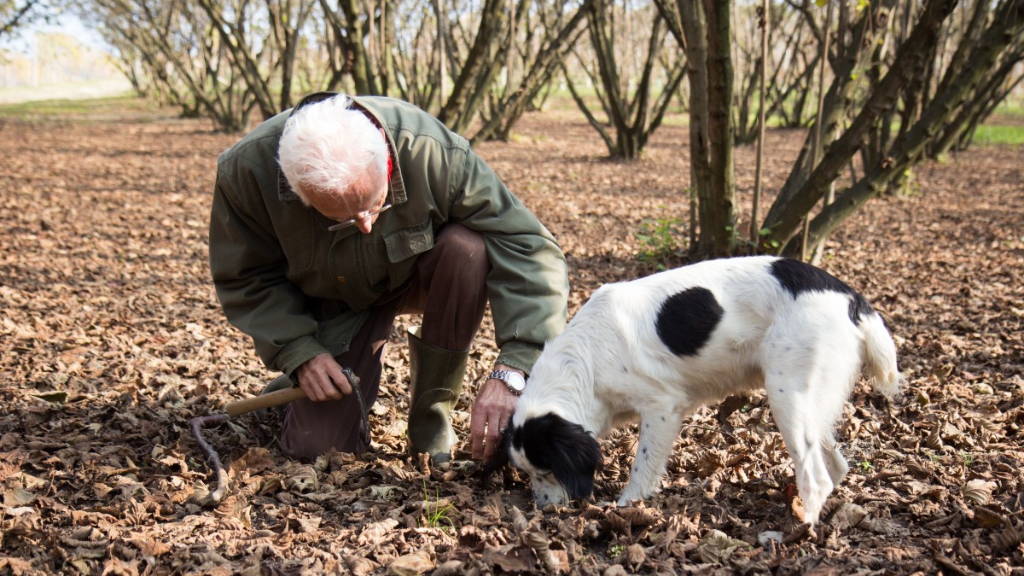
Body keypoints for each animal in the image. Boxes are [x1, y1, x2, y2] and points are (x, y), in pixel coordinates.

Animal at [507, 253, 901, 522]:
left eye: (547, 470)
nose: (542, 510)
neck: (583, 362)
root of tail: (850, 296)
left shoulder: (661, 408)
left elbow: (643, 465)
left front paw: (627, 504)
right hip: (812, 402)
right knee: (834, 466)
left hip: (788, 397)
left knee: (817, 477)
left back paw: (798, 531)